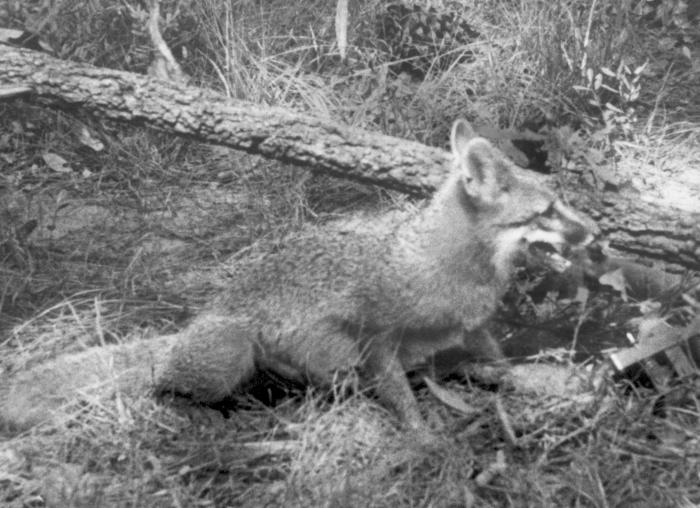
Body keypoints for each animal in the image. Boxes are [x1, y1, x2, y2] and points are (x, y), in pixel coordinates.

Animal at [0, 120, 592, 436]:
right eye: (547, 212)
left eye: (561, 203)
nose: (595, 232)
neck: (447, 268)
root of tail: (188, 330)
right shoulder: (375, 340)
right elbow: (403, 400)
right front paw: (426, 442)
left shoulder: (472, 331)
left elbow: (502, 364)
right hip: (232, 350)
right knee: (165, 388)